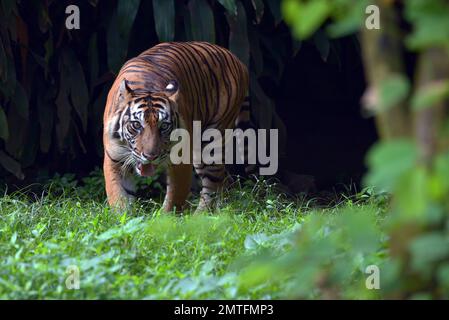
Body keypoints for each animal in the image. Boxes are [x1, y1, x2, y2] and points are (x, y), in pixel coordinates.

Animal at [103, 42, 250, 212]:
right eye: (136, 125)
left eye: (164, 126)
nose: (151, 156)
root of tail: (237, 60)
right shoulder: (114, 160)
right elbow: (119, 198)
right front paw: (124, 216)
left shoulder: (181, 160)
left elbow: (174, 199)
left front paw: (166, 218)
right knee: (225, 179)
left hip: (210, 144)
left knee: (213, 182)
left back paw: (202, 215)